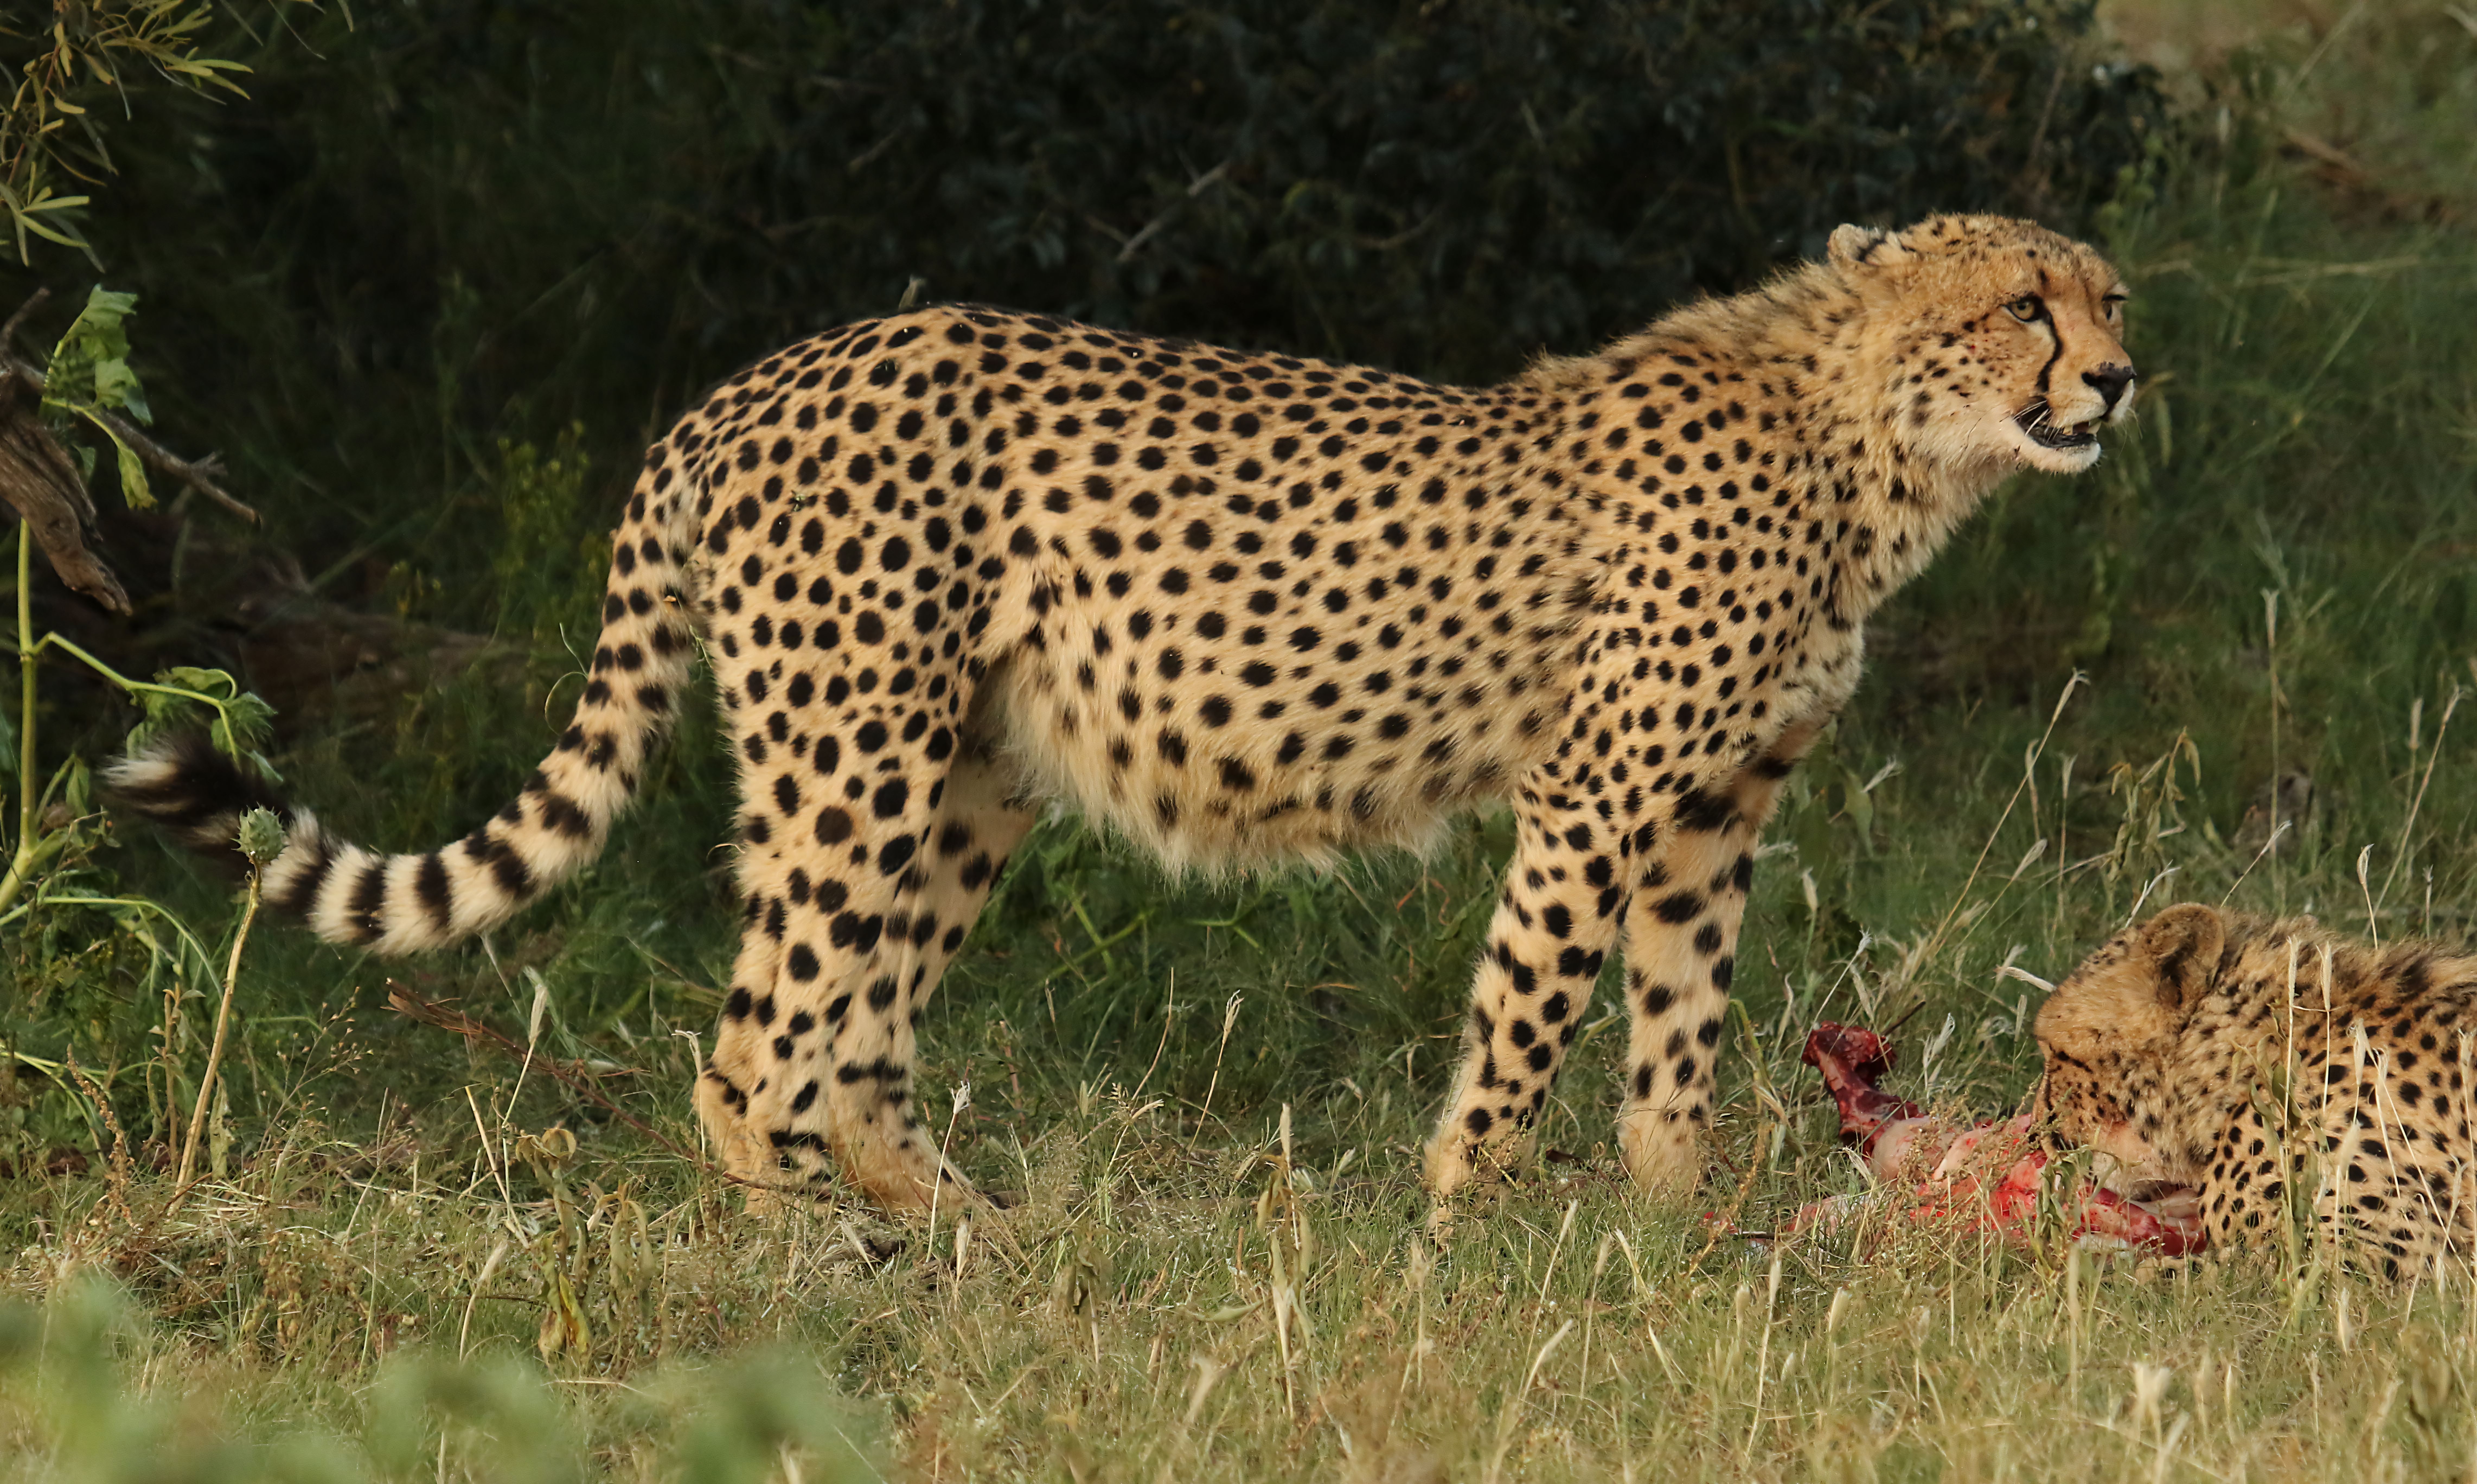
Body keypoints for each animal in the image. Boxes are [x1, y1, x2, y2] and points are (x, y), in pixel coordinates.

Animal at [112, 212, 2136, 1213]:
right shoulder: (1594, 794)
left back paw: (964, 1245)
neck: (1877, 444)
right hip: (854, 756)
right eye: (2024, 305)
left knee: (856, 1040)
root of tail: (754, 381)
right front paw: (1466, 1234)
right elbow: (1525, 1025)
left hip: (969, 771)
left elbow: (1677, 1033)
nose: (2118, 379)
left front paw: (1671, 1229)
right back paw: (814, 1271)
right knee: (752, 1046)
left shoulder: (1717, 810)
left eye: (2105, 296)